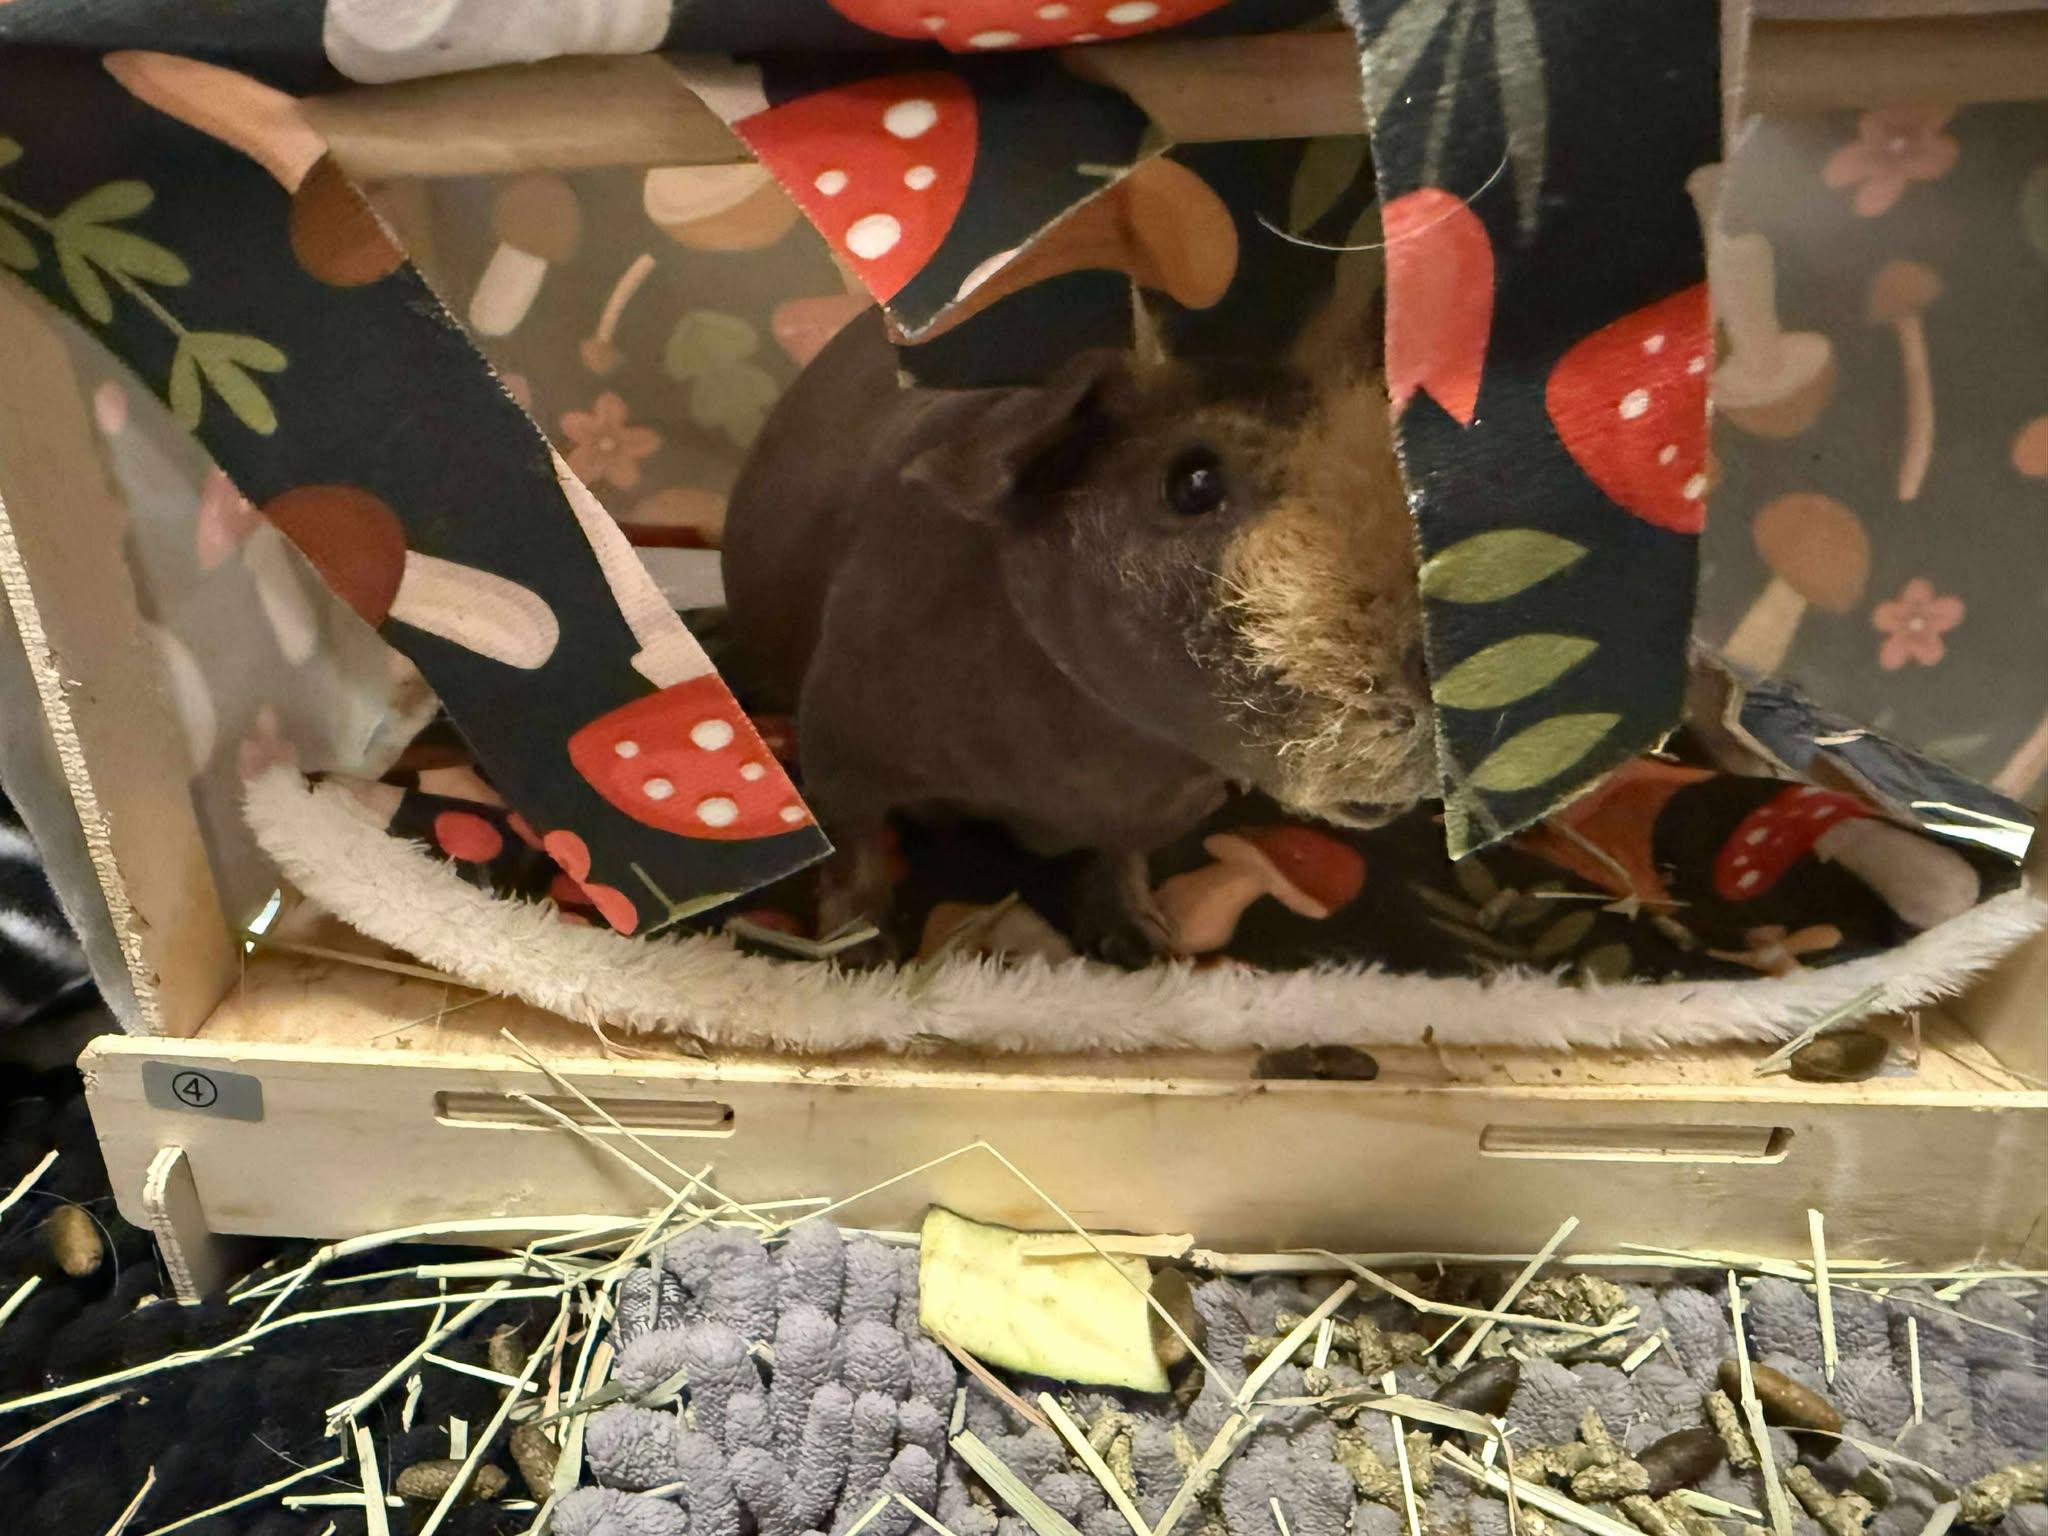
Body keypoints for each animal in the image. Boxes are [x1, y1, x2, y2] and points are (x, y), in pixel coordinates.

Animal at [721, 308, 1432, 963]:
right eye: (1193, 481)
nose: (1429, 671)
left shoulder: (1152, 816)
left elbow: (1119, 859)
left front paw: (1145, 948)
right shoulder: (840, 749)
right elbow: (855, 848)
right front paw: (864, 957)